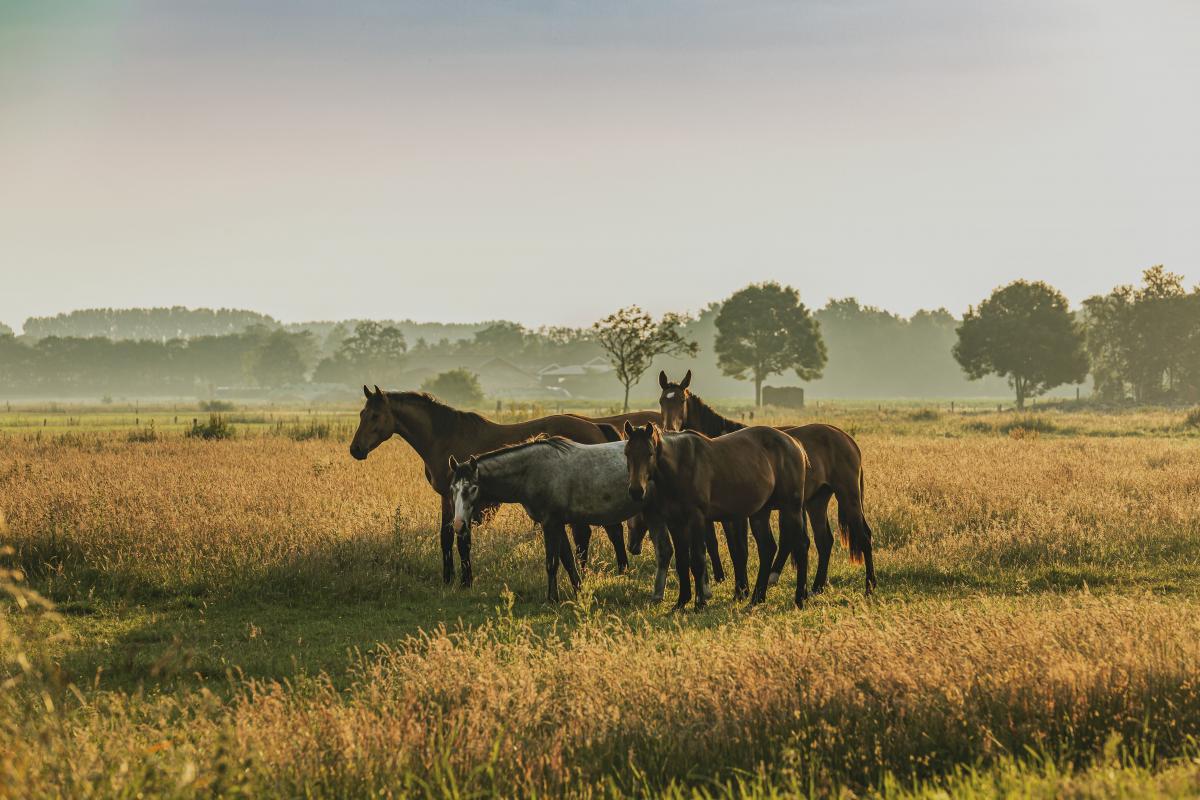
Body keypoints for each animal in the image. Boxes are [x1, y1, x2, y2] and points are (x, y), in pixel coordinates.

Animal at [349, 386, 627, 586]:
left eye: (375, 415)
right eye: (362, 414)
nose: (356, 449)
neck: (444, 437)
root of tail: (595, 426)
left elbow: (462, 540)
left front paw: (466, 581)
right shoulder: (447, 498)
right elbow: (445, 537)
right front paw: (448, 579)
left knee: (599, 532)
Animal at [448, 438, 682, 603]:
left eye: (472, 488)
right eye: (453, 488)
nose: (458, 525)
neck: (531, 471)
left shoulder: (550, 523)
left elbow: (552, 563)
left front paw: (552, 598)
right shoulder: (558, 524)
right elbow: (568, 560)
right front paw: (580, 590)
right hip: (654, 515)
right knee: (665, 551)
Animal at [623, 422, 811, 609]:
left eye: (650, 453)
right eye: (627, 453)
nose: (636, 491)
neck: (680, 466)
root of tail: (795, 443)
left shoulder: (697, 518)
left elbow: (697, 560)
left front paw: (699, 603)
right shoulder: (675, 522)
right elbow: (682, 561)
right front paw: (682, 601)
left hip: (791, 508)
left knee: (800, 546)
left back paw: (799, 598)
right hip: (760, 513)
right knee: (767, 548)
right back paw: (757, 598)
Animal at [657, 370, 877, 595]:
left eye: (681, 400)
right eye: (662, 401)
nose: (669, 429)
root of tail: (845, 437)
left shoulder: (735, 515)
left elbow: (738, 550)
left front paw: (741, 588)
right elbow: (713, 544)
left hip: (848, 496)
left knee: (864, 537)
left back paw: (869, 585)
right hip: (816, 501)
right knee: (824, 541)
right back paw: (815, 586)